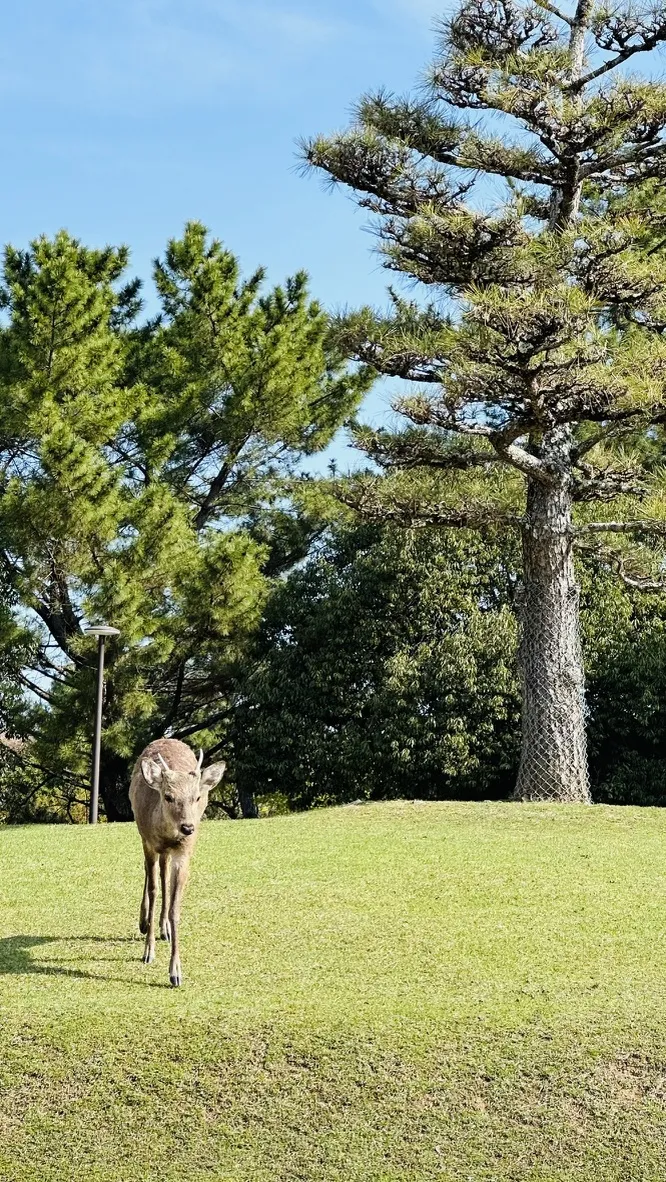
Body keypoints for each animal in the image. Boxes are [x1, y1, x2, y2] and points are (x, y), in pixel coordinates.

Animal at [129, 737, 226, 986]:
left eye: (197, 797)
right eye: (168, 796)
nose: (188, 827)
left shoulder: (184, 852)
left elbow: (175, 907)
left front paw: (175, 972)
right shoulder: (149, 842)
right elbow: (153, 890)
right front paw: (148, 952)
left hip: (169, 853)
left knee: (164, 874)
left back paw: (164, 929)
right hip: (142, 836)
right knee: (149, 873)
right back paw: (144, 922)